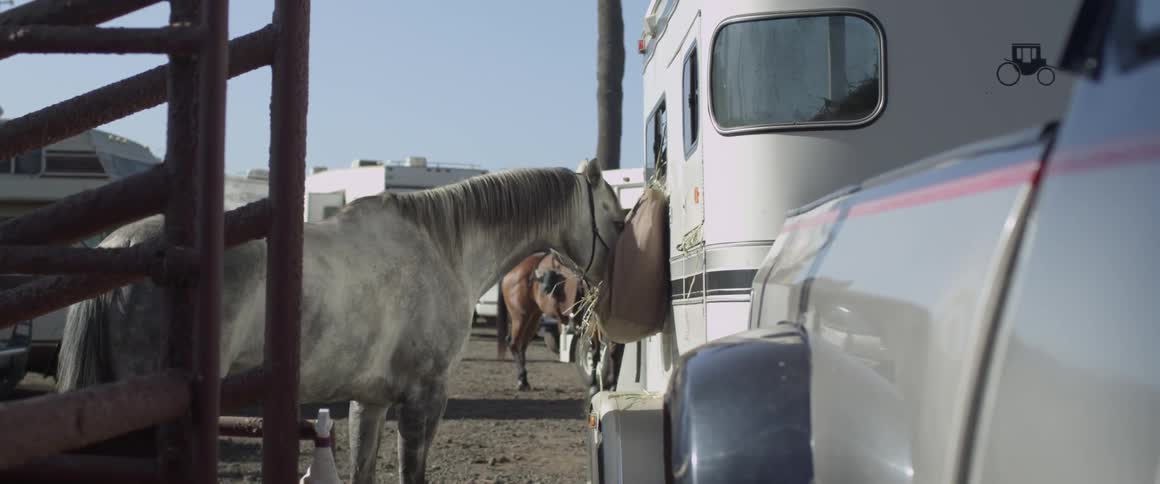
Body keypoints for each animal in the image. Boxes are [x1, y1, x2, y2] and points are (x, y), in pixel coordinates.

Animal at [495, 251, 590, 391]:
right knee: (513, 343)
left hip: (533, 318)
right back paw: (522, 380)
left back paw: (524, 380)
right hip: (520, 316)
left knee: (522, 345)